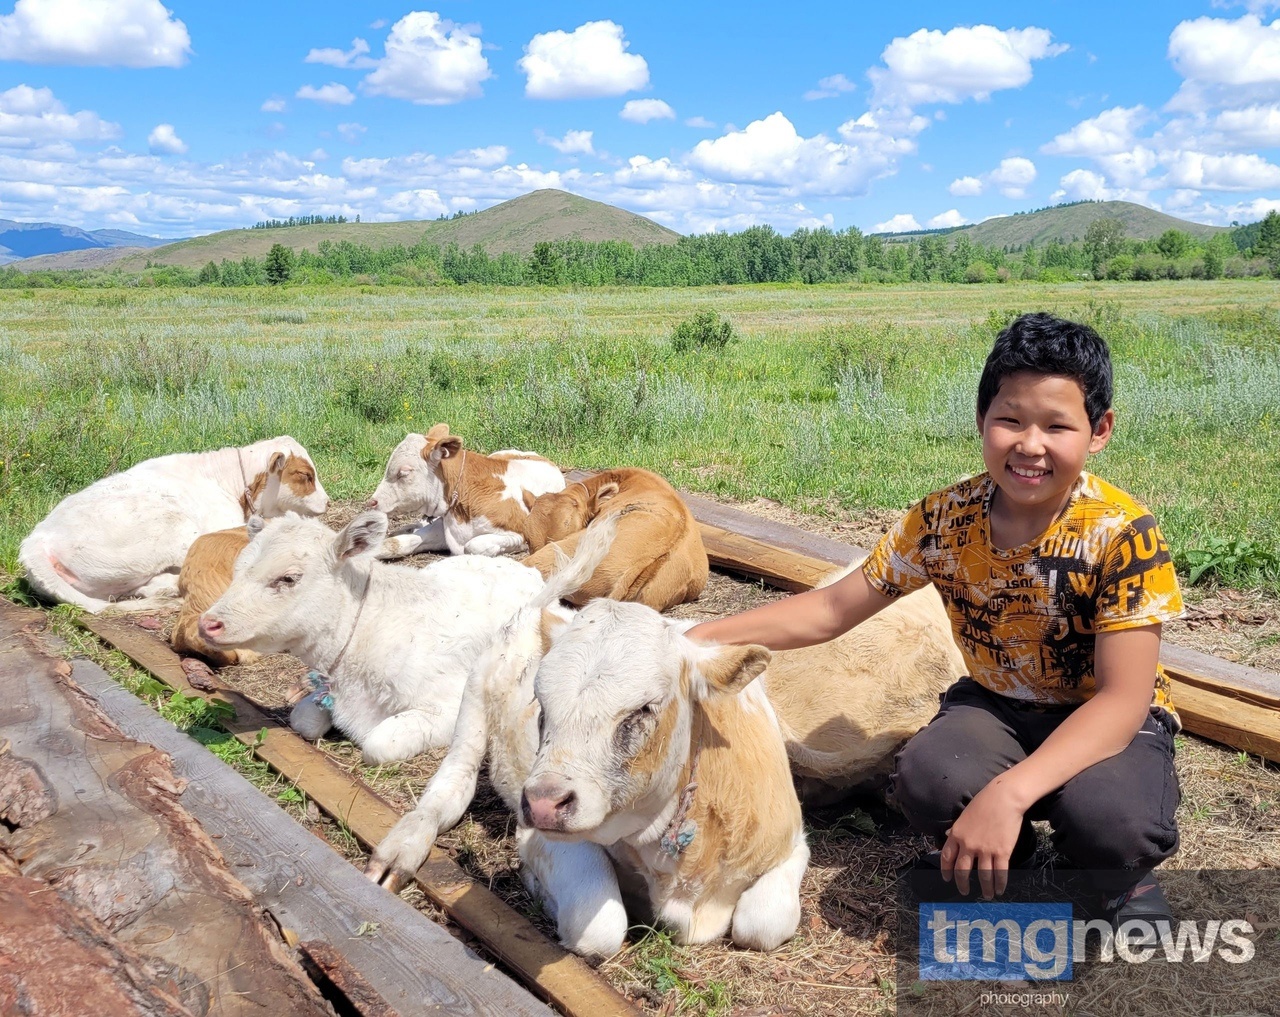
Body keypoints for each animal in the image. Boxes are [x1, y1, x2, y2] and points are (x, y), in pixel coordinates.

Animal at [198, 509, 545, 762]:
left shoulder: (449, 704)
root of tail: (521, 568)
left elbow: (379, 744)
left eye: (288, 578)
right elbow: (303, 720)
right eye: (237, 570)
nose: (208, 623)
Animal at [360, 424, 560, 560]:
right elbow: (395, 544)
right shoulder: (446, 527)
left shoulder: (519, 530)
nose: (372, 502)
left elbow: (474, 546)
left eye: (404, 472)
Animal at [522, 596, 803, 956]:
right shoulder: (536, 836)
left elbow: (763, 924)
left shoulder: (792, 844)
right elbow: (599, 929)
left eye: (644, 707)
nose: (543, 803)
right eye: (541, 704)